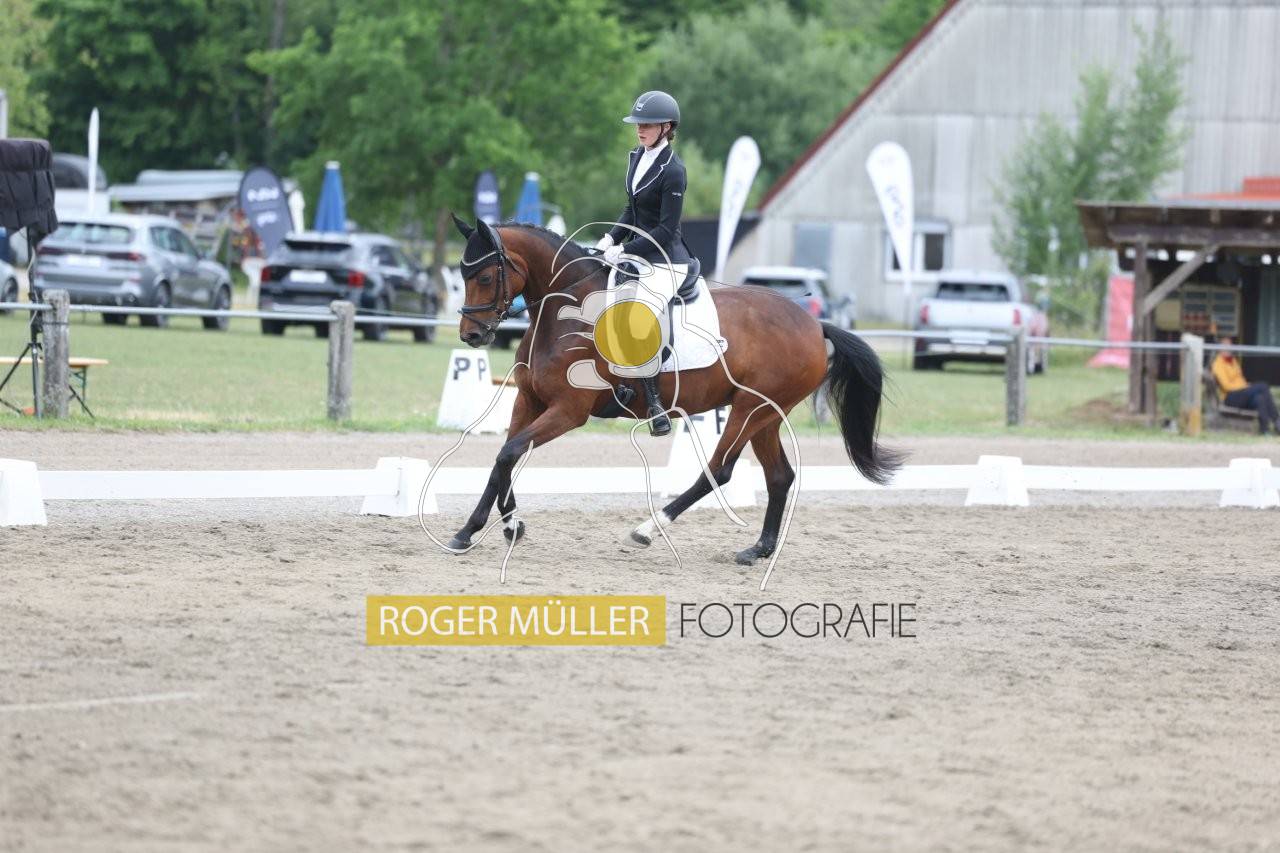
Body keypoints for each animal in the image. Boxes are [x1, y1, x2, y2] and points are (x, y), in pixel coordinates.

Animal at [444, 216, 900, 576]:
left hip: (750, 410)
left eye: (484, 277)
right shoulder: (529, 401)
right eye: (462, 277)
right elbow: (503, 458)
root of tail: (814, 325)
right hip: (765, 415)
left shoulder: (568, 411)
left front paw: (491, 528)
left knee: (719, 470)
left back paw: (648, 528)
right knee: (779, 476)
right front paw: (490, 528)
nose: (471, 336)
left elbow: (509, 453)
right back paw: (758, 550)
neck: (564, 313)